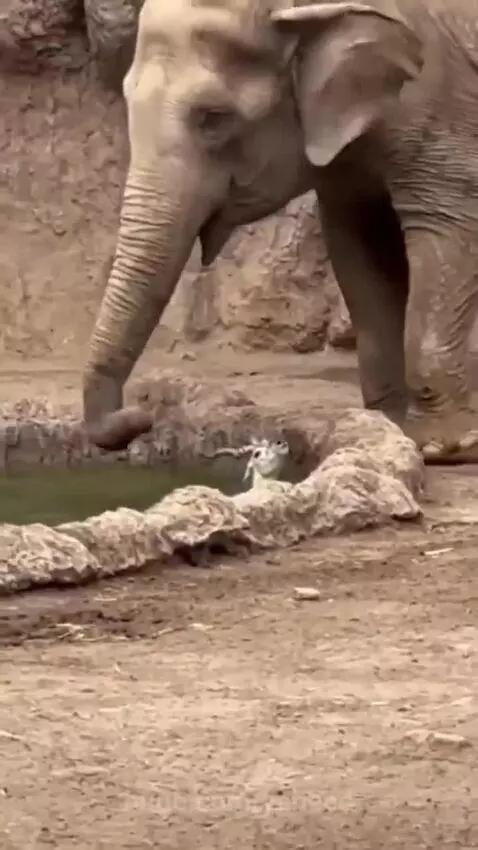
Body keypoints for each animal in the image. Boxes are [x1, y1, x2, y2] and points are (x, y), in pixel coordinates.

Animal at [82, 0, 478, 462]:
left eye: (213, 118)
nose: (140, 416)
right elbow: (361, 243)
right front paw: (393, 428)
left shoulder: (440, 101)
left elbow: (444, 227)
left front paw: (443, 447)